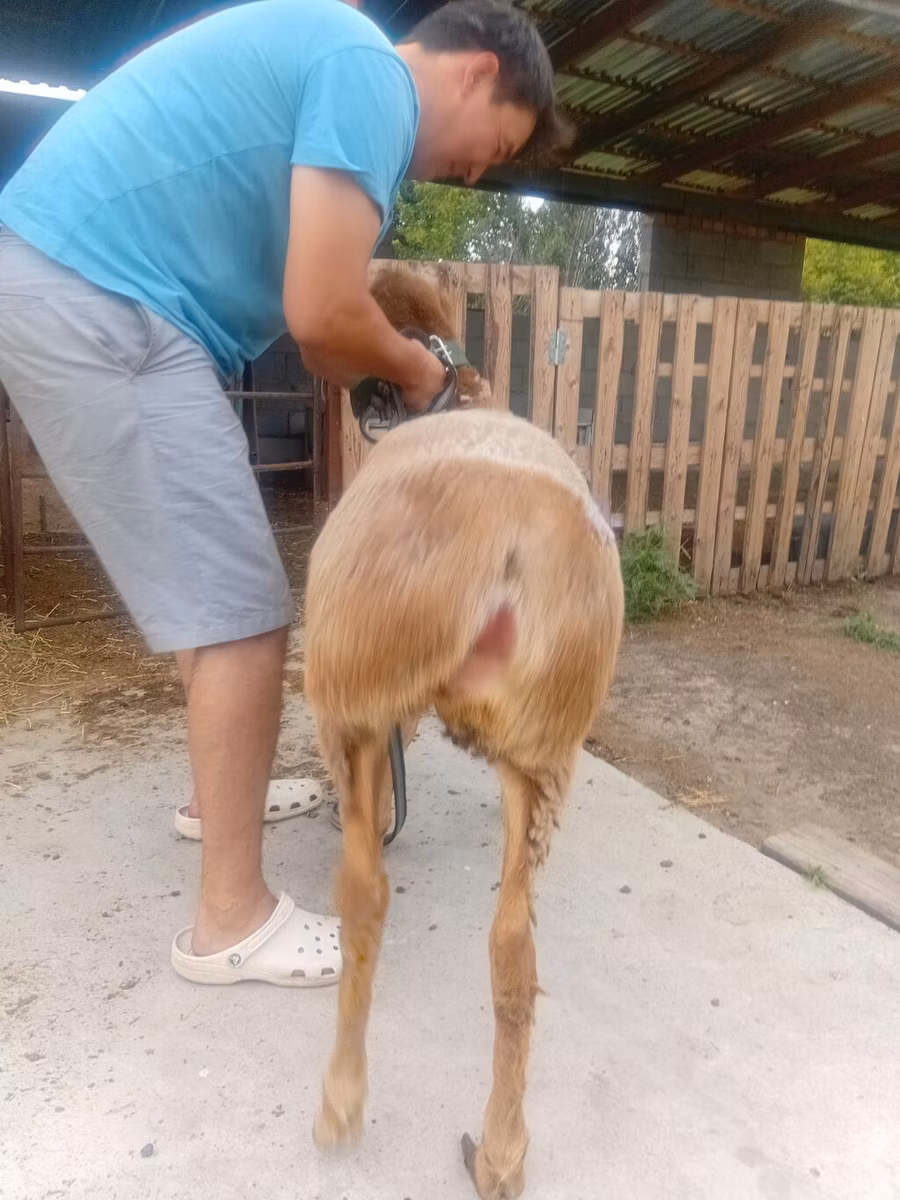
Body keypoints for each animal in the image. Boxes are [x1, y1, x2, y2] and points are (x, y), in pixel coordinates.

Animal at [304, 265, 625, 1200]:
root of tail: (510, 537)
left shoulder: (377, 711)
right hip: (544, 749)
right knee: (514, 950)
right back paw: (503, 1152)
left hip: (348, 692)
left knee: (363, 894)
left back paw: (340, 1102)